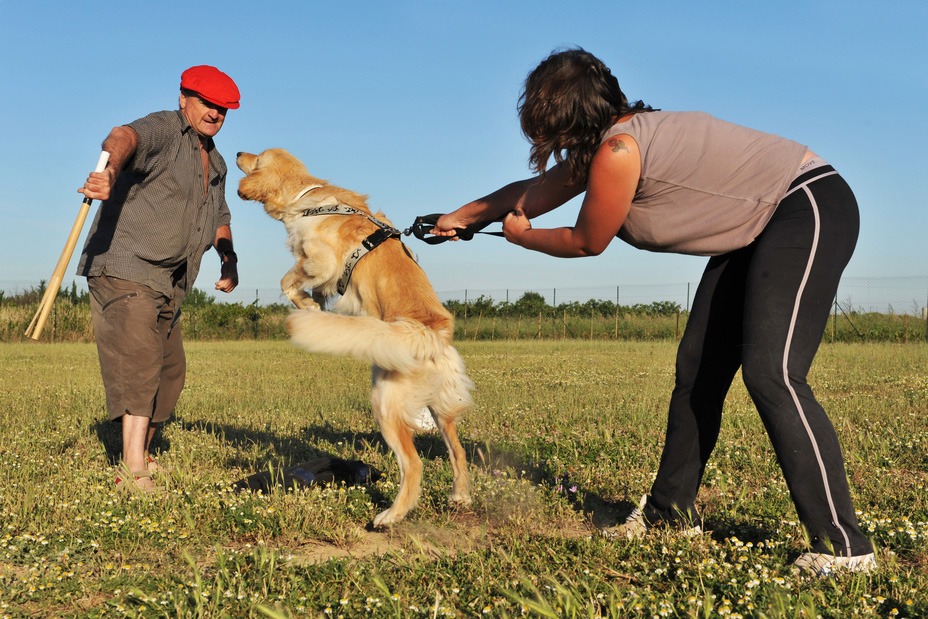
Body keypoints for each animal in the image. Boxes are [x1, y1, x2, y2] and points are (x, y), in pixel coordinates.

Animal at [236, 150, 474, 528]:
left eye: (256, 158)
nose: (236, 153)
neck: (309, 198)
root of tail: (433, 332)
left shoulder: (318, 260)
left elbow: (288, 280)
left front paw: (306, 305)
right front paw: (316, 302)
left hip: (385, 402)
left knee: (414, 465)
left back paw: (390, 515)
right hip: (440, 411)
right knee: (458, 451)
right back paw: (460, 496)